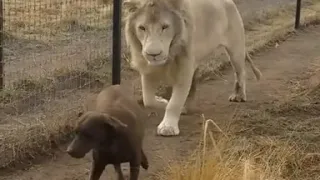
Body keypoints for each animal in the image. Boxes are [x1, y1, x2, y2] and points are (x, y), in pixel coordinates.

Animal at [121, 0, 262, 136]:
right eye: (142, 28)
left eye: (165, 27)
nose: (153, 54)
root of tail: (230, 2)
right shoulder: (148, 70)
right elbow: (148, 100)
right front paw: (163, 101)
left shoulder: (184, 67)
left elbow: (174, 102)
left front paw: (168, 127)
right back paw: (186, 107)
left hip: (235, 50)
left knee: (240, 73)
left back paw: (239, 96)